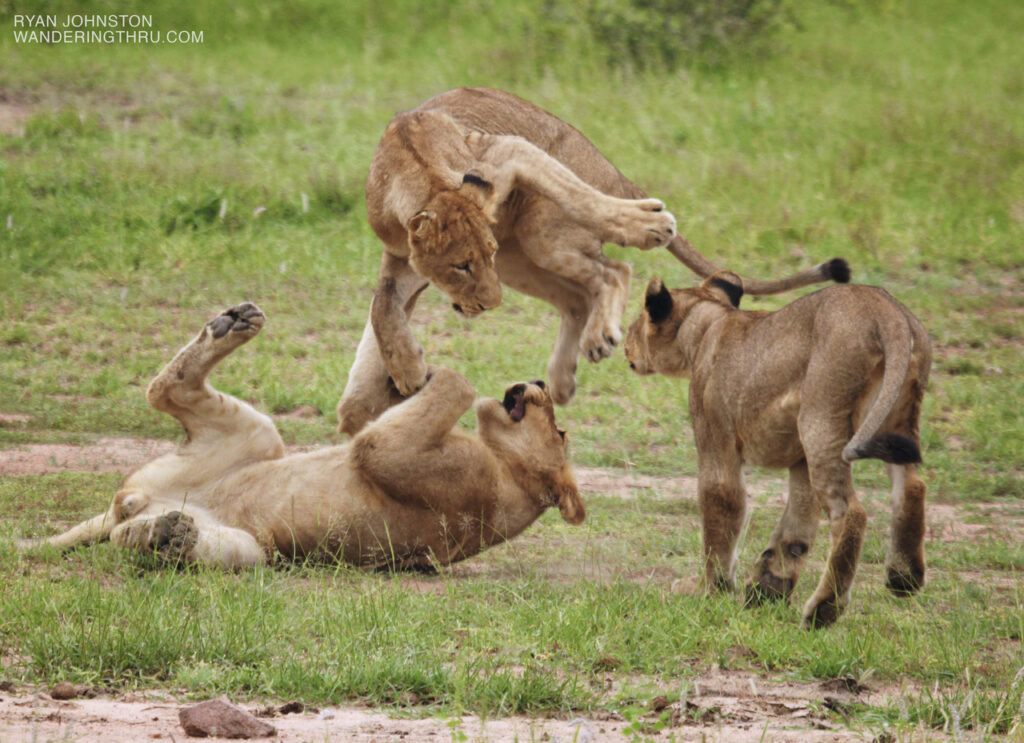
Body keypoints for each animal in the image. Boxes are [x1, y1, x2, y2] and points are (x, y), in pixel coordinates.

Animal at [19, 302, 584, 569]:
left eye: (559, 430)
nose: (536, 384)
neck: (510, 475)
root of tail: (133, 501)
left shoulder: (396, 456)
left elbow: (457, 384)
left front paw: (426, 371)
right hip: (257, 446)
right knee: (169, 392)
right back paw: (232, 322)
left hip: (253, 538)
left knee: (163, 397)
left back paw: (161, 535)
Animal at [337, 87, 849, 435]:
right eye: (461, 266)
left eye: (484, 255)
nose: (490, 304)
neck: (414, 167)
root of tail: (610, 168)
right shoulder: (402, 258)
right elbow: (383, 308)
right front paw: (405, 371)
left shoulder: (508, 151)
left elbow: (581, 196)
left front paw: (650, 226)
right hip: (524, 255)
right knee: (578, 296)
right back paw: (564, 377)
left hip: (536, 236)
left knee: (613, 268)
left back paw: (604, 328)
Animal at [624, 273, 931, 628]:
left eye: (638, 319)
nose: (624, 343)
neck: (708, 323)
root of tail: (886, 312)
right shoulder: (799, 458)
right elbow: (797, 523)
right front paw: (768, 586)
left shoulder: (716, 436)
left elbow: (721, 506)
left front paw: (708, 589)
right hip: (894, 419)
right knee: (913, 485)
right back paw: (904, 577)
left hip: (821, 419)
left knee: (851, 512)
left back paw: (824, 609)